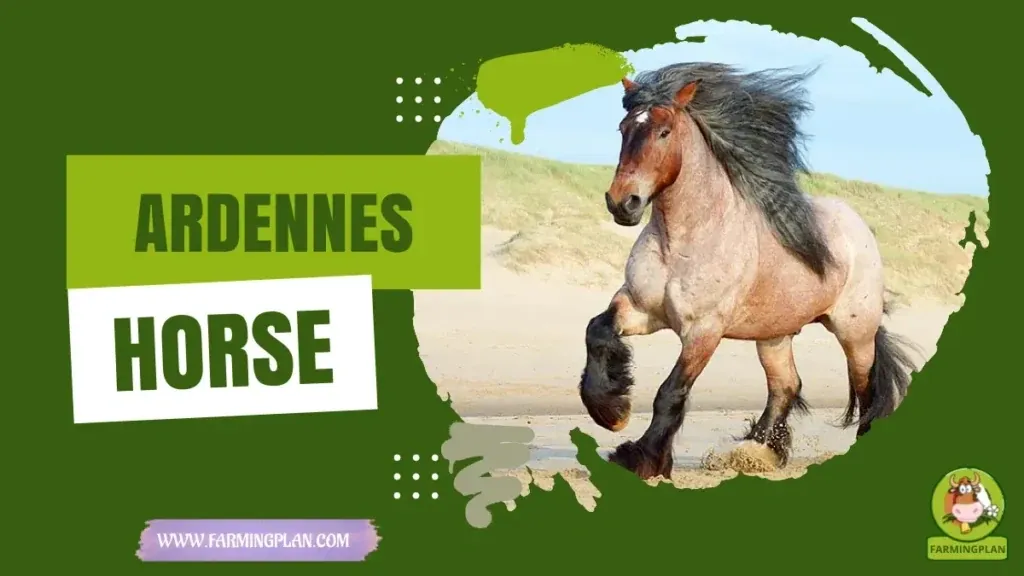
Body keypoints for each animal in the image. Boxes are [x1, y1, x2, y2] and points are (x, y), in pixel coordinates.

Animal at [578, 62, 919, 480]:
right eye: (624, 128)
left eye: (664, 131)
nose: (622, 203)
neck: (683, 240)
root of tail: (859, 228)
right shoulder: (640, 308)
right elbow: (597, 331)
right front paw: (610, 412)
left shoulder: (703, 331)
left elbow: (670, 392)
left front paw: (642, 457)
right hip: (775, 335)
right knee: (786, 385)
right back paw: (756, 452)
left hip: (855, 334)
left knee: (866, 389)